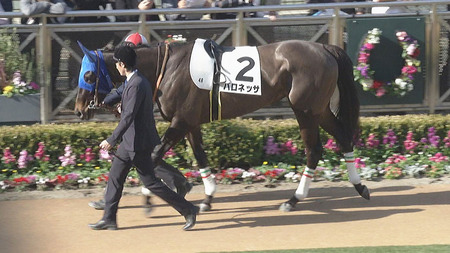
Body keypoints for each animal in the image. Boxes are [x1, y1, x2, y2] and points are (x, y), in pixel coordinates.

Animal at [74, 39, 370, 212]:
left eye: (88, 75)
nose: (78, 110)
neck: (167, 68)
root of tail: (324, 48)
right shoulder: (190, 122)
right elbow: (200, 157)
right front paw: (206, 198)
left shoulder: (180, 122)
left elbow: (154, 156)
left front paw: (148, 198)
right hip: (318, 109)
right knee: (343, 137)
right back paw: (360, 187)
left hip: (305, 109)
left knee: (314, 149)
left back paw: (293, 200)